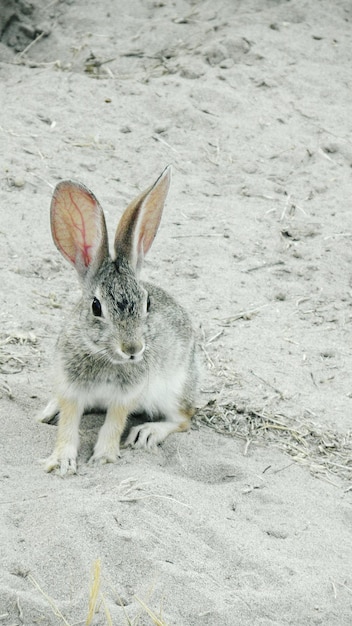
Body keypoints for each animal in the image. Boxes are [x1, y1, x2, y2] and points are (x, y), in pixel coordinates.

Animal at [39, 166, 199, 472]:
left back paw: (147, 432)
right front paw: (62, 461)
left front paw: (103, 457)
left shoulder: (126, 395)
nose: (133, 349)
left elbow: (114, 423)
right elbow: (68, 424)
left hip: (173, 388)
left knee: (183, 419)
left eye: (147, 302)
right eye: (96, 307)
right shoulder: (70, 388)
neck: (104, 356)